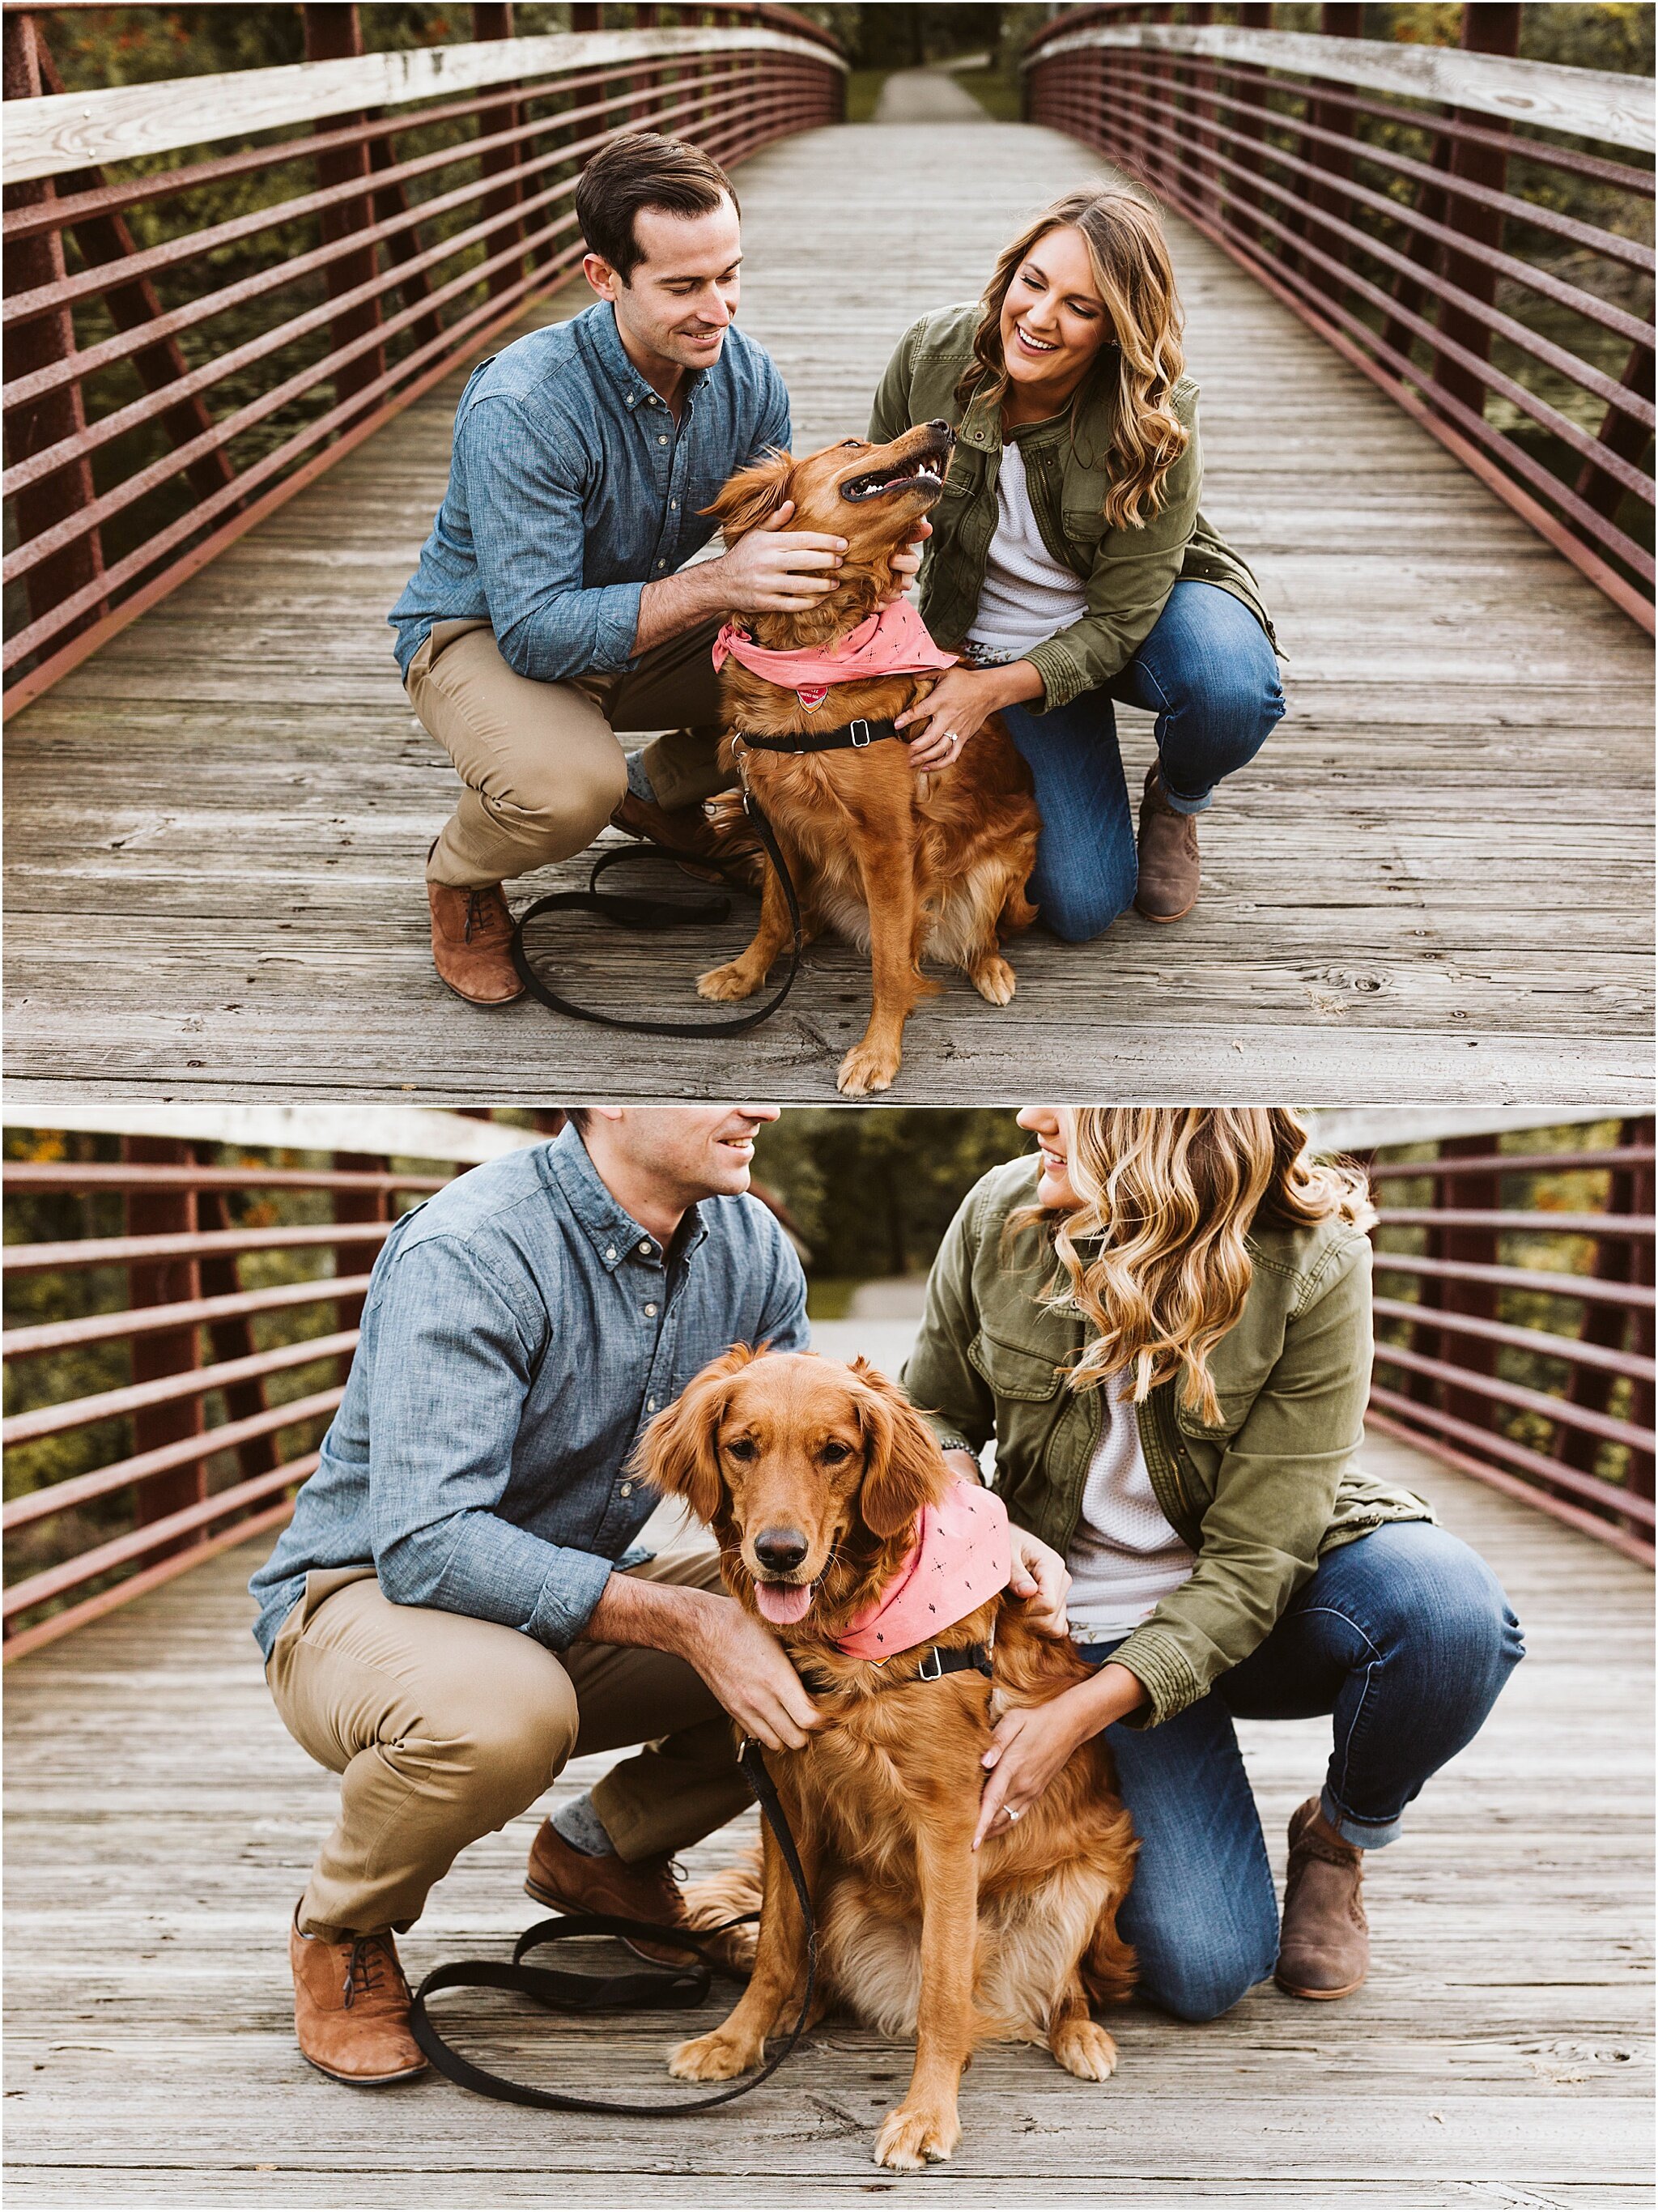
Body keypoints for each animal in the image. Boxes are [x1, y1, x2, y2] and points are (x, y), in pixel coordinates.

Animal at [640, 1336, 1141, 2167]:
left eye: (835, 1452)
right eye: (742, 1448)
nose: (780, 1553)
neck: (847, 1636)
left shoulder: (949, 1818)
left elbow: (943, 1986)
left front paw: (927, 2114)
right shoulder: (786, 1796)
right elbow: (778, 1946)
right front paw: (736, 2041)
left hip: (1088, 1879)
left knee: (1064, 1990)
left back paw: (1082, 2038)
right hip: (841, 1897)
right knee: (816, 1969)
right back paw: (795, 2018)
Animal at [698, 418, 1039, 1092]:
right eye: (854, 445)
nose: (943, 424)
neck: (814, 657)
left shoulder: (886, 841)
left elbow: (888, 959)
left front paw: (879, 1051)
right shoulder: (775, 816)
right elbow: (773, 913)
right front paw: (746, 973)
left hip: (1001, 866)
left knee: (984, 933)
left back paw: (992, 970)